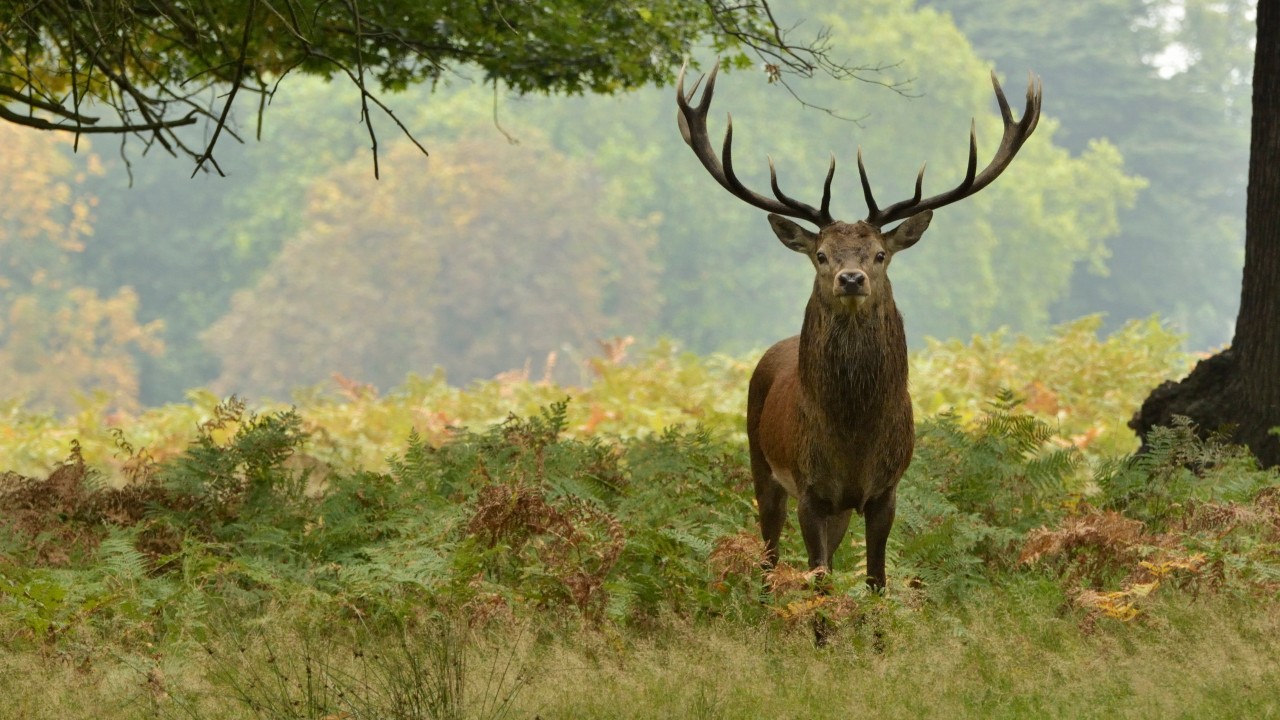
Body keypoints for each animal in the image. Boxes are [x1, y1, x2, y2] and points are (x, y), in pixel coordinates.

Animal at [675, 61, 1034, 597]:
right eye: (821, 254)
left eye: (880, 254)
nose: (850, 278)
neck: (854, 437)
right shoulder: (809, 489)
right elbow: (819, 579)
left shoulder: (886, 489)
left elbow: (876, 579)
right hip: (761, 464)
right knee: (768, 553)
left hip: (839, 507)